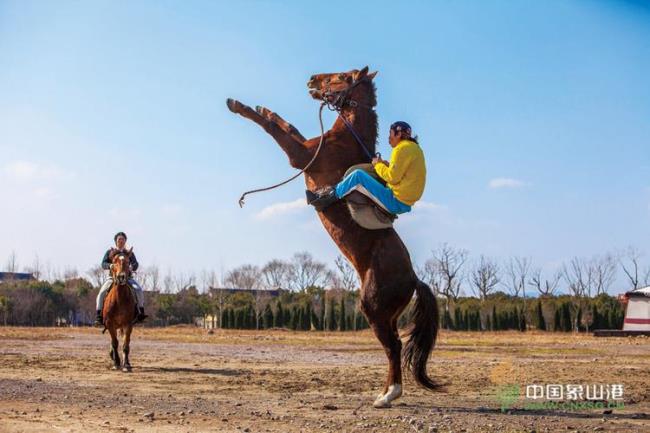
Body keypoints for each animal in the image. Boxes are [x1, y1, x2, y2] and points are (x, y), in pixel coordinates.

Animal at [227, 66, 440, 406]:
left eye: (341, 76)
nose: (312, 79)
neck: (344, 139)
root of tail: (413, 278)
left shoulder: (302, 155)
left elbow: (277, 130)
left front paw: (239, 105)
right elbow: (286, 124)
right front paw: (263, 107)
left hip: (373, 308)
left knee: (392, 346)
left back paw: (388, 395)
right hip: (387, 314)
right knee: (393, 345)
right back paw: (384, 392)